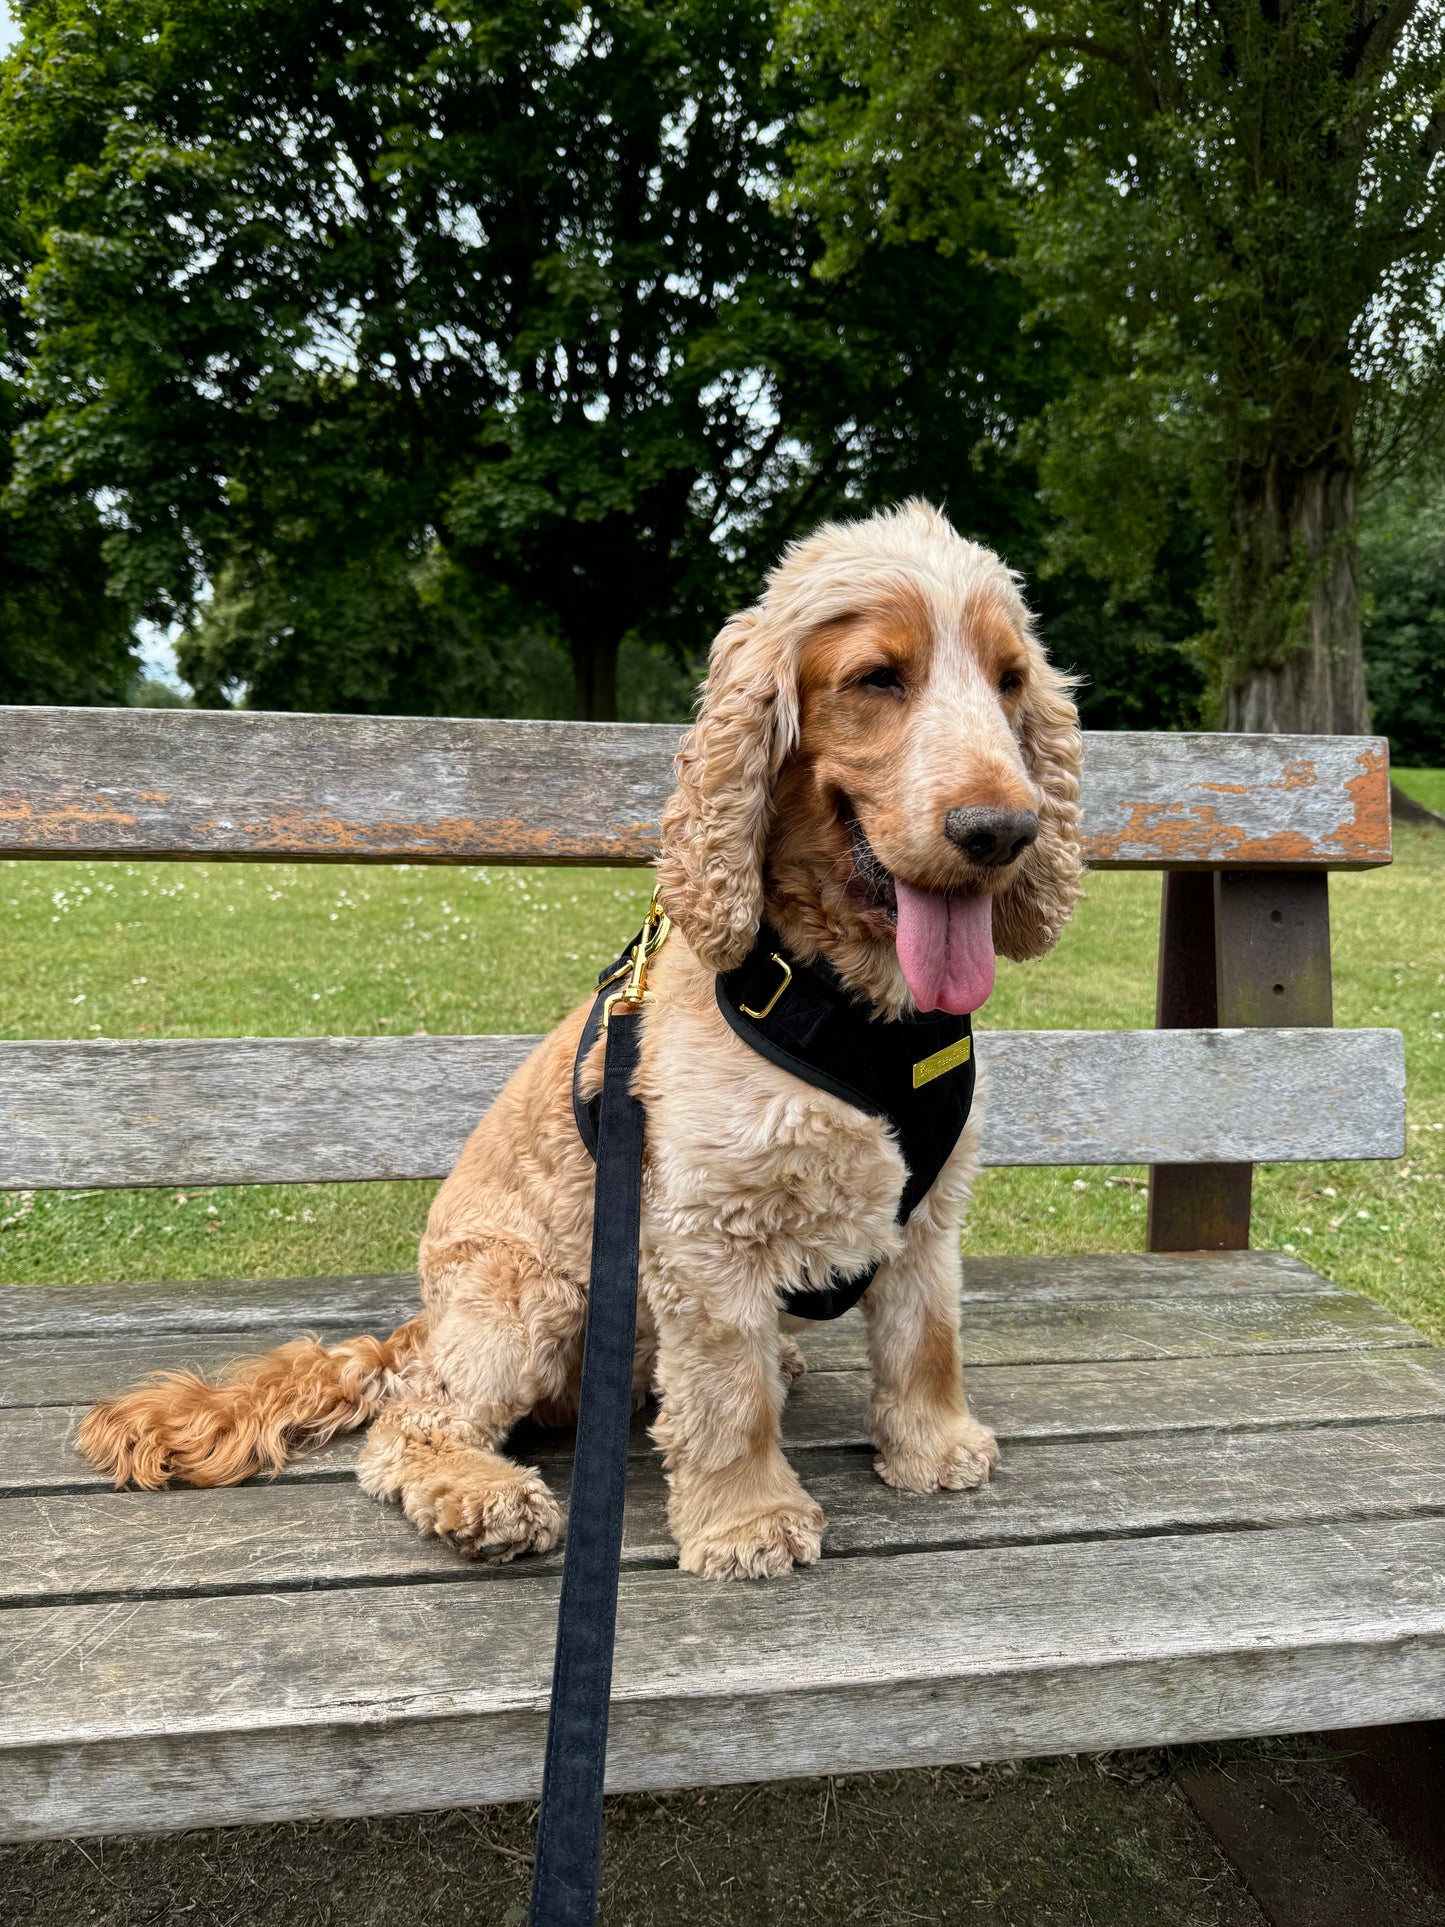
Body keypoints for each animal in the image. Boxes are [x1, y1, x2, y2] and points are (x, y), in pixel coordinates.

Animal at [73, 501, 1078, 1580]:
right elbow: (728, 1395)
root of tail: (420, 1327)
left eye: (1008, 680)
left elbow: (924, 1336)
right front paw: (748, 1520)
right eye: (876, 679)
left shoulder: (926, 1210)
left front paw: (934, 1447)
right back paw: (486, 1498)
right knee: (412, 1426)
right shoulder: (703, 1230)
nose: (1001, 830)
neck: (853, 1007)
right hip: (525, 1293)